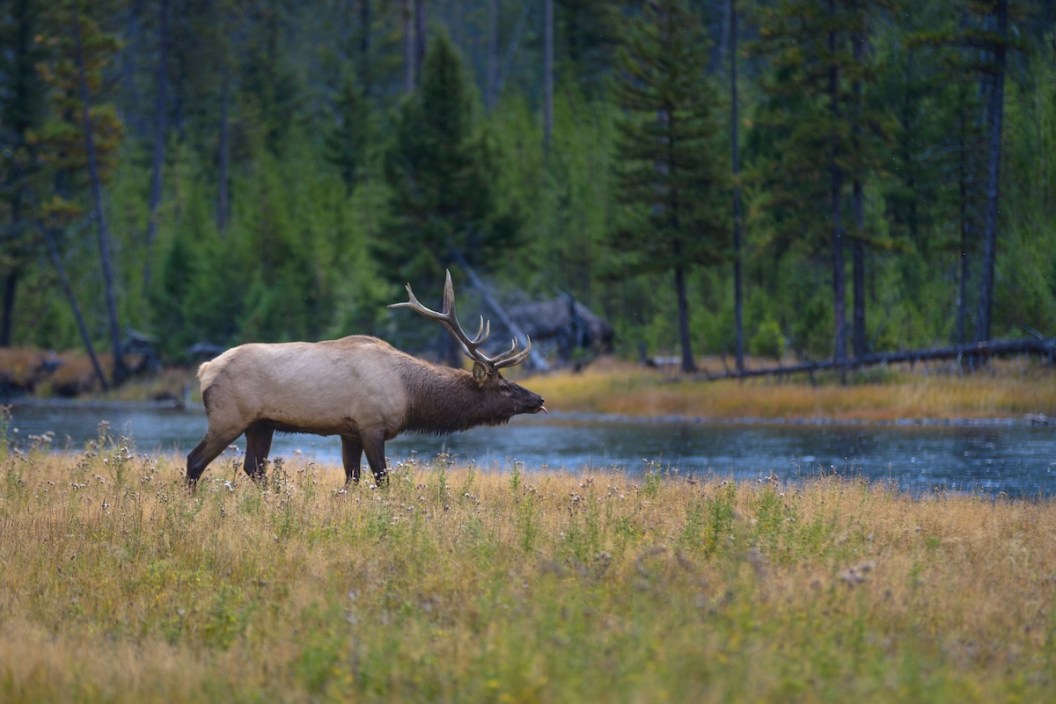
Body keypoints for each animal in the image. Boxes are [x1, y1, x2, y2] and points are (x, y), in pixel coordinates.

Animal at [185, 271, 546, 487]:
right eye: (504, 387)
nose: (539, 399)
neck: (410, 396)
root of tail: (204, 368)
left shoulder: (349, 431)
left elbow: (352, 479)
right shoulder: (372, 425)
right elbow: (382, 478)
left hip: (261, 424)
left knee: (254, 468)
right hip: (229, 417)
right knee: (195, 460)